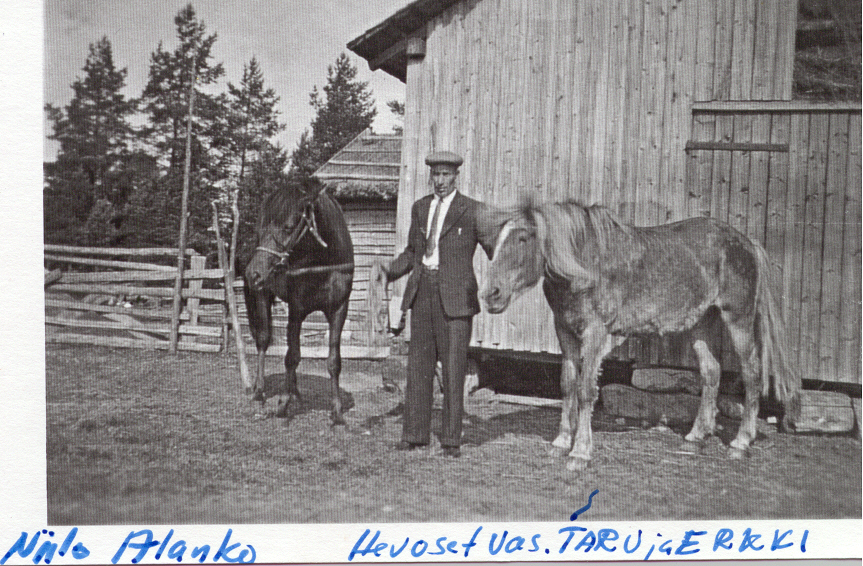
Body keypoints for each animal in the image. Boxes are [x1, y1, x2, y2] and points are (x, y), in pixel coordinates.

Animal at [243, 182, 354, 424]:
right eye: (262, 230)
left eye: (288, 227)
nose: (253, 273)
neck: (324, 264)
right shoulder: (297, 310)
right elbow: (291, 356)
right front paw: (282, 404)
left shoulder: (339, 310)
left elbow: (333, 361)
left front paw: (337, 411)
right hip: (262, 295)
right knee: (263, 340)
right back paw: (259, 391)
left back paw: (295, 393)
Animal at [480, 198, 800, 472]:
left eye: (523, 239)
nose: (490, 294)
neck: (585, 263)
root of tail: (746, 243)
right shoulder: (565, 331)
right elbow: (567, 385)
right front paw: (560, 443)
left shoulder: (595, 333)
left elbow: (585, 391)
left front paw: (580, 453)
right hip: (702, 323)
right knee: (711, 373)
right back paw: (696, 437)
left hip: (738, 319)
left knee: (752, 374)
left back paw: (741, 443)